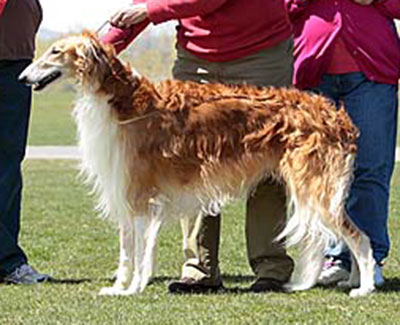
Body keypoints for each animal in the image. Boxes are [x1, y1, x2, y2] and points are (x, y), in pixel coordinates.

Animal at [18, 32, 376, 296]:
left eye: (55, 51)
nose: (22, 77)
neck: (122, 100)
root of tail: (338, 117)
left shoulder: (142, 197)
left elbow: (140, 253)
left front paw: (133, 289)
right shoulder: (126, 195)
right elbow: (126, 252)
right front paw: (118, 288)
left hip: (316, 190)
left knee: (360, 237)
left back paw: (365, 288)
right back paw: (353, 281)